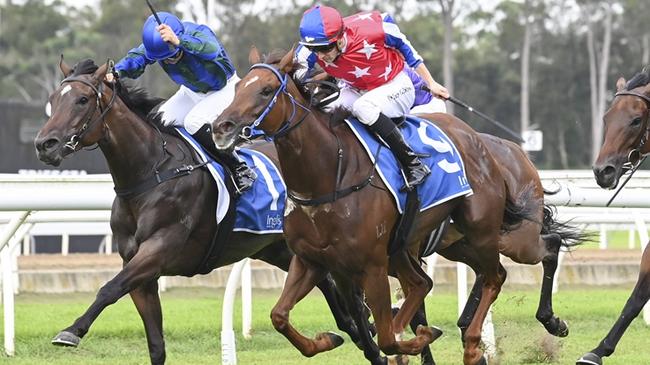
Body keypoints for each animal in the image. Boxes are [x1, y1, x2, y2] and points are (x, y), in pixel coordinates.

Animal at [33, 58, 362, 362]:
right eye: (53, 98)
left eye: (82, 100)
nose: (44, 144)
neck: (151, 173)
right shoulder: (141, 270)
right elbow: (155, 344)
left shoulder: (158, 250)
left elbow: (110, 288)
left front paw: (71, 331)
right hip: (276, 249)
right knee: (327, 284)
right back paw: (348, 331)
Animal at [210, 48, 536, 364]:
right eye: (238, 88)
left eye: (266, 90)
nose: (220, 127)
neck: (328, 177)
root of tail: (478, 139)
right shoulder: (311, 260)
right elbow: (279, 316)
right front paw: (327, 339)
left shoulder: (372, 265)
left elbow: (388, 339)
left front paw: (416, 339)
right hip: (405, 245)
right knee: (422, 283)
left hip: (480, 229)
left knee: (494, 276)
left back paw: (471, 346)